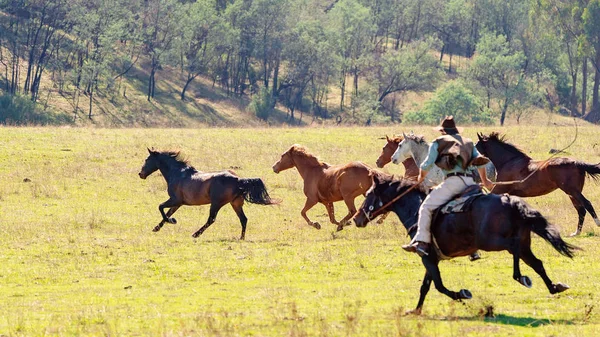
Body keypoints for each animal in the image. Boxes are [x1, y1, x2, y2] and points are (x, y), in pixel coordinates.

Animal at [138, 148, 278, 239]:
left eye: (147, 159)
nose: (141, 174)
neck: (177, 172)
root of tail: (237, 179)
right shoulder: (178, 203)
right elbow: (167, 213)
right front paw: (157, 227)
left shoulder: (175, 200)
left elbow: (161, 207)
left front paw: (172, 221)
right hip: (235, 204)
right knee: (243, 219)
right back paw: (241, 238)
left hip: (216, 204)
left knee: (211, 219)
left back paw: (195, 234)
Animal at [352, 175, 576, 314]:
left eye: (369, 194)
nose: (356, 219)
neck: (416, 209)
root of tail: (510, 202)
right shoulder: (431, 258)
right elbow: (426, 286)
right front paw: (415, 310)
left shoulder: (427, 257)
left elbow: (439, 286)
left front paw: (461, 294)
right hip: (524, 244)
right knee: (537, 263)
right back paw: (554, 287)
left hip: (493, 242)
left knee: (514, 250)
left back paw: (520, 277)